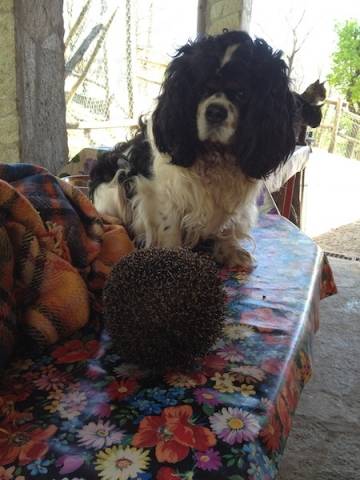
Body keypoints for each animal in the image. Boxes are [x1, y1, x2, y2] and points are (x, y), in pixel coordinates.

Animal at [90, 31, 296, 268]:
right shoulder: (160, 193)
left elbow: (229, 226)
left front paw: (229, 251)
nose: (215, 112)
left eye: (242, 93)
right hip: (116, 186)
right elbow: (169, 227)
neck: (216, 156)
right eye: (201, 88)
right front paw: (172, 256)